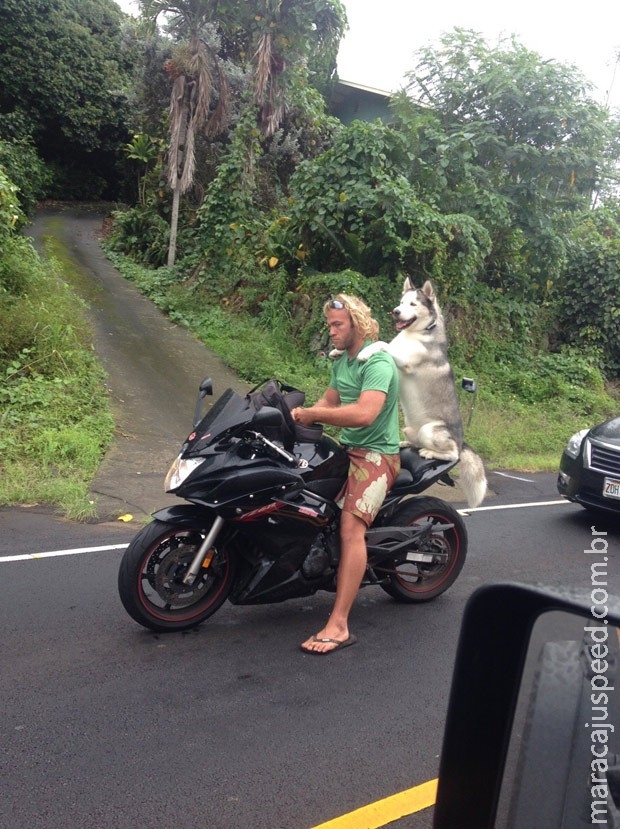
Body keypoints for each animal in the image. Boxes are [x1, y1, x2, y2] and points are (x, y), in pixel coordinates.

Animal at [356, 280, 486, 504]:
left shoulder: (405, 362)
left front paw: (363, 353)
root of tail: (462, 442)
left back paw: (429, 452)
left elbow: (380, 343)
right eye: (401, 302)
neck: (415, 333)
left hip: (431, 431)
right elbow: (380, 342)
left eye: (413, 304)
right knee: (416, 444)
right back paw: (406, 443)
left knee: (452, 455)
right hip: (409, 427)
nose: (395, 311)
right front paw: (337, 351)